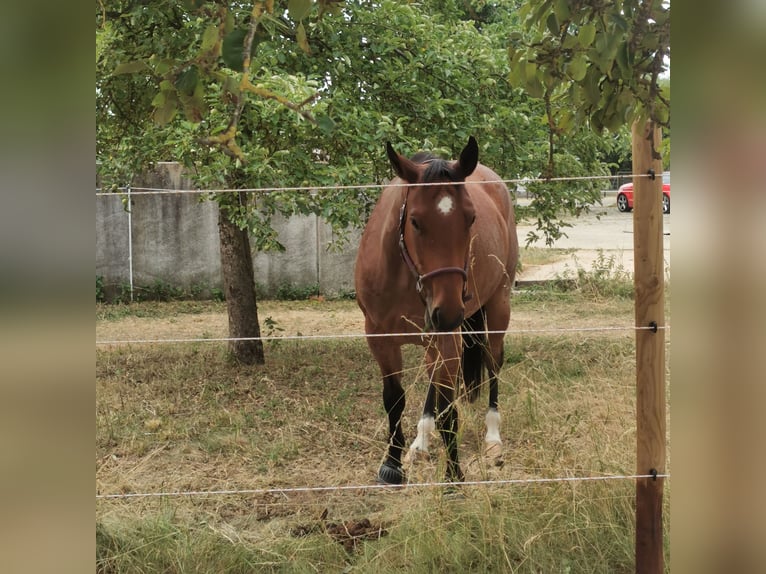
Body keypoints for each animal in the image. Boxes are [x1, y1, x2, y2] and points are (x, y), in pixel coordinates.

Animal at [354, 136, 519, 485]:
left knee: (493, 362)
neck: (404, 275)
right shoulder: (379, 338)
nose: (449, 312)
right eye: (415, 221)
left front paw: (454, 475)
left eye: (471, 219)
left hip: (497, 308)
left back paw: (493, 438)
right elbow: (394, 399)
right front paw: (392, 464)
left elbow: (448, 410)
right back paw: (421, 442)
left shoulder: (448, 337)